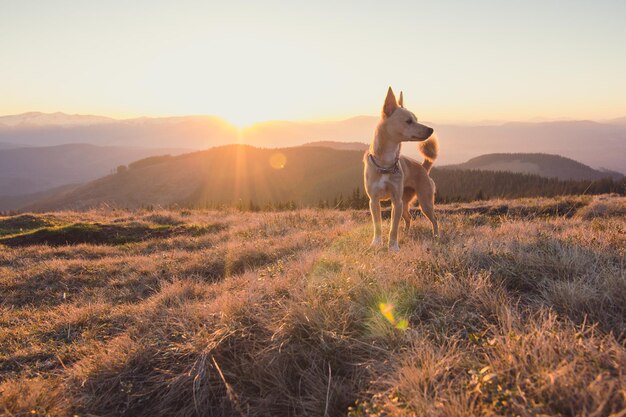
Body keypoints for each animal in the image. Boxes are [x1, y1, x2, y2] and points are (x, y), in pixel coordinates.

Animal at [360, 87, 438, 250]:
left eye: (416, 118)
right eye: (408, 121)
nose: (431, 129)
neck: (385, 164)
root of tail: (423, 167)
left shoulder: (396, 201)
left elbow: (393, 228)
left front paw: (393, 247)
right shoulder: (374, 201)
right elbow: (377, 226)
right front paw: (376, 244)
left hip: (424, 203)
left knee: (434, 219)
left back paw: (436, 236)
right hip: (405, 203)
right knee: (409, 218)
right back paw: (407, 233)